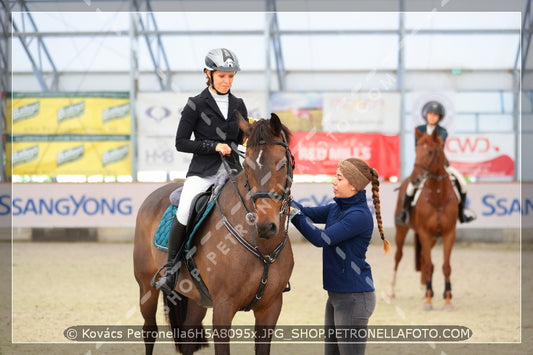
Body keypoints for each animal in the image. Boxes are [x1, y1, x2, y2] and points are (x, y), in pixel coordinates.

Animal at [131, 112, 294, 354]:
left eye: (282, 164)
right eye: (247, 165)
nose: (265, 226)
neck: (262, 246)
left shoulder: (271, 307)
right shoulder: (223, 306)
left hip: (196, 298)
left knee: (188, 338)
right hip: (146, 287)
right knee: (149, 330)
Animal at [386, 129, 458, 312]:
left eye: (431, 152)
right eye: (416, 150)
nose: (415, 179)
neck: (438, 196)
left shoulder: (448, 234)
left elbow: (445, 267)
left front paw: (448, 300)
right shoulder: (425, 233)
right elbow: (430, 266)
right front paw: (428, 301)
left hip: (431, 238)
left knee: (425, 260)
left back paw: (424, 288)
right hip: (401, 230)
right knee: (398, 256)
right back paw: (392, 291)